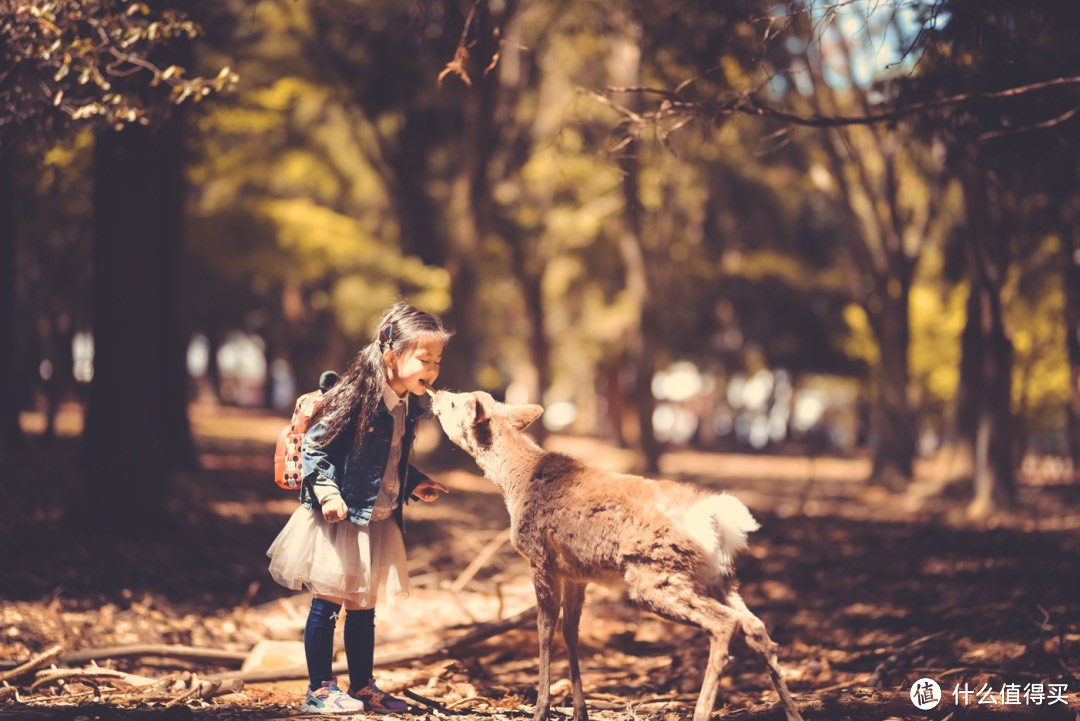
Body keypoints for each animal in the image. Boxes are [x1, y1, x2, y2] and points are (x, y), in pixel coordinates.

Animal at [427, 390, 803, 721]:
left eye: (456, 402)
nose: (436, 393)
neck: (514, 484)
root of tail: (717, 522)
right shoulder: (575, 573)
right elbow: (570, 631)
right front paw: (579, 711)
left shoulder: (540, 559)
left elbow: (545, 631)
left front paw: (541, 709)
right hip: (717, 578)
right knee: (756, 627)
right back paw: (793, 712)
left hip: (654, 576)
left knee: (726, 623)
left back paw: (701, 711)